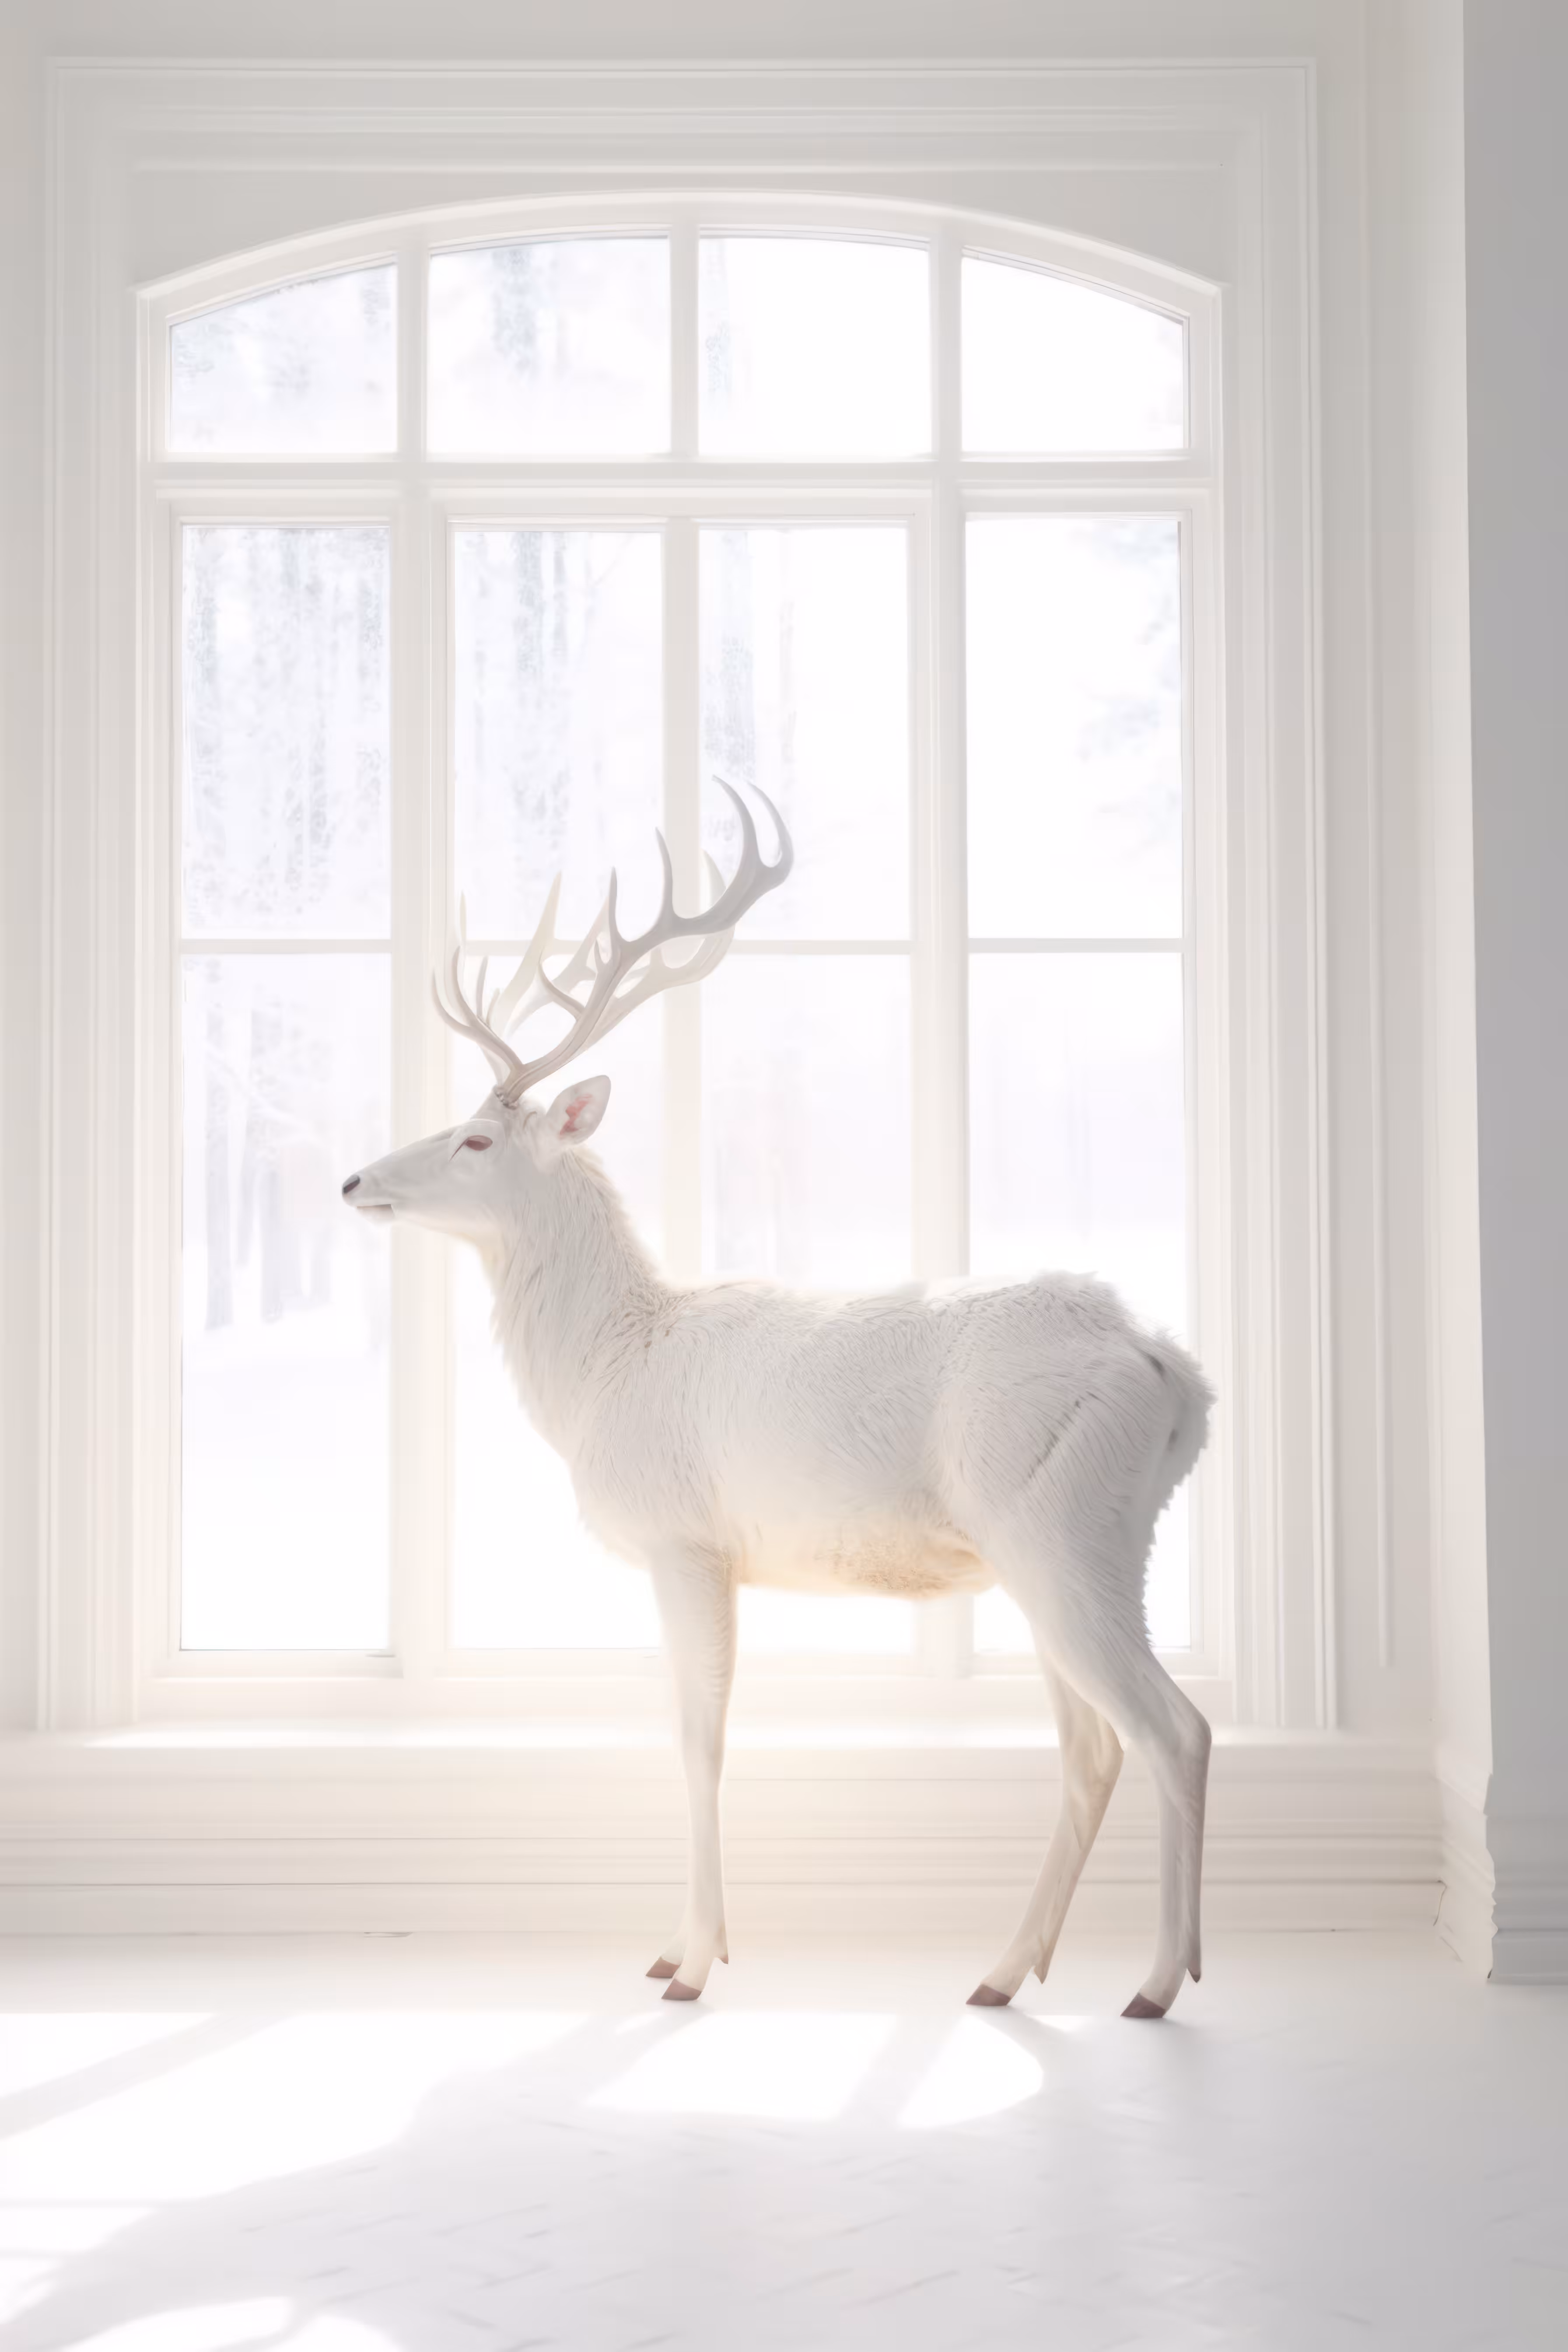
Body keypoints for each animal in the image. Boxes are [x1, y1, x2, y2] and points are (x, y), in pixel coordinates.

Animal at [341, 785, 1214, 2016]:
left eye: (474, 1137)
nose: (354, 1180)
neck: (604, 1368)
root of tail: (1169, 1368)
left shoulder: (686, 1539)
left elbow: (698, 1739)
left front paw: (692, 1963)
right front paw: (673, 1946)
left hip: (1068, 1528)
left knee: (1174, 1729)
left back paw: (1158, 1981)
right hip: (1056, 1551)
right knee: (1093, 1749)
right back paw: (1003, 1974)